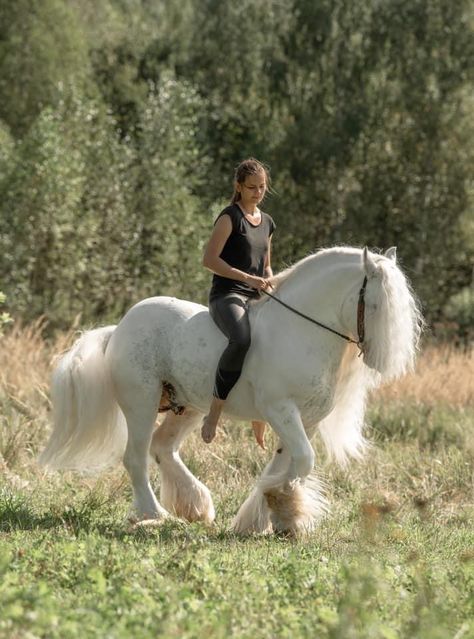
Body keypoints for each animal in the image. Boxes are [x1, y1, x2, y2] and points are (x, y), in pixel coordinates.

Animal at [38, 248, 422, 536]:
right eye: (376, 303)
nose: (380, 360)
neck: (301, 330)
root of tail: (118, 328)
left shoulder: (305, 420)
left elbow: (286, 463)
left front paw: (270, 517)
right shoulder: (282, 410)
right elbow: (303, 460)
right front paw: (283, 506)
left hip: (189, 406)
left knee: (163, 447)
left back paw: (195, 506)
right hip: (141, 402)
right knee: (135, 456)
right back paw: (154, 514)